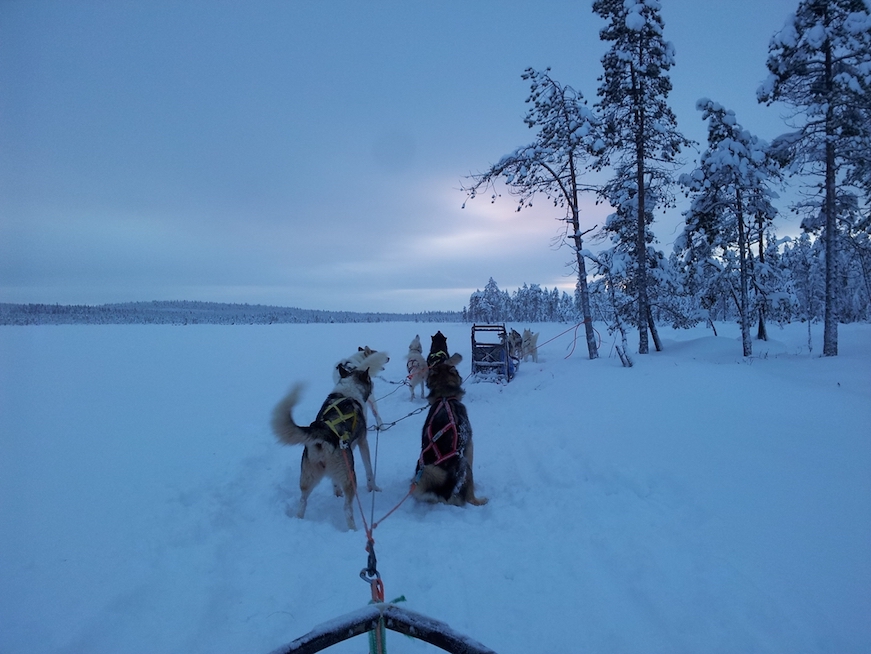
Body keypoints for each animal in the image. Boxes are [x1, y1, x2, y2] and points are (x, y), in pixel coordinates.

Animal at [270, 366, 372, 532]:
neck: (347, 392)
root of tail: (323, 431)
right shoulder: (363, 442)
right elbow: (370, 470)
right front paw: (373, 488)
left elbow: (334, 483)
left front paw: (336, 493)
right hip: (349, 476)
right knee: (347, 509)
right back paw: (354, 530)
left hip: (308, 477)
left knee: (302, 501)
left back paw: (300, 519)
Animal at [412, 336, 488, 510]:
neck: (444, 396)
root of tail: (440, 491)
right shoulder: (469, 446)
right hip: (464, 465)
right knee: (470, 498)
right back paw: (480, 500)